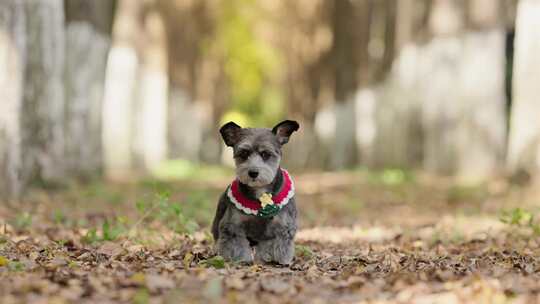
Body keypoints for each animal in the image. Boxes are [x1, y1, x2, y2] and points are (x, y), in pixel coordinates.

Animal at [212, 120, 300, 264]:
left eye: (266, 154)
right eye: (243, 154)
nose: (253, 172)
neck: (261, 193)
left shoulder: (282, 226)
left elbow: (276, 245)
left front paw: (277, 259)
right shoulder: (232, 226)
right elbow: (237, 245)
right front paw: (241, 259)